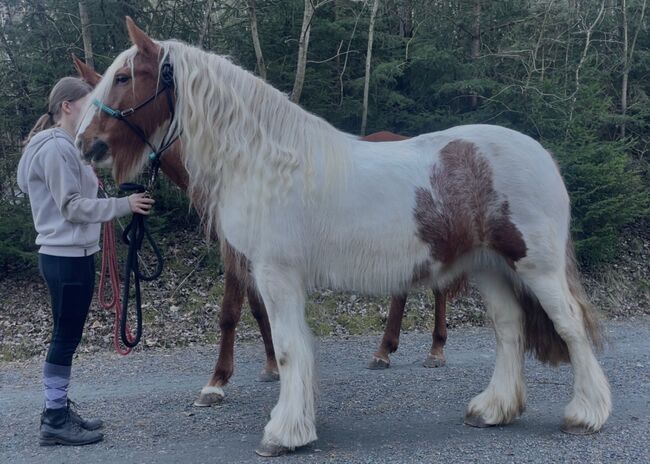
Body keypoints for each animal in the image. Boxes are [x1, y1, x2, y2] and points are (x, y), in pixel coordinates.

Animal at [76, 18, 611, 457]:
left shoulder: (275, 274)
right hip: (490, 268)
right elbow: (291, 345)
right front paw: (295, 422)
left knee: (569, 326)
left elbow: (288, 348)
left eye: (123, 77)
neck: (262, 162)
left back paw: (586, 413)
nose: (87, 145)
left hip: (534, 266)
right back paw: (494, 409)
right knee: (509, 329)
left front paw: (283, 434)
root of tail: (542, 155)